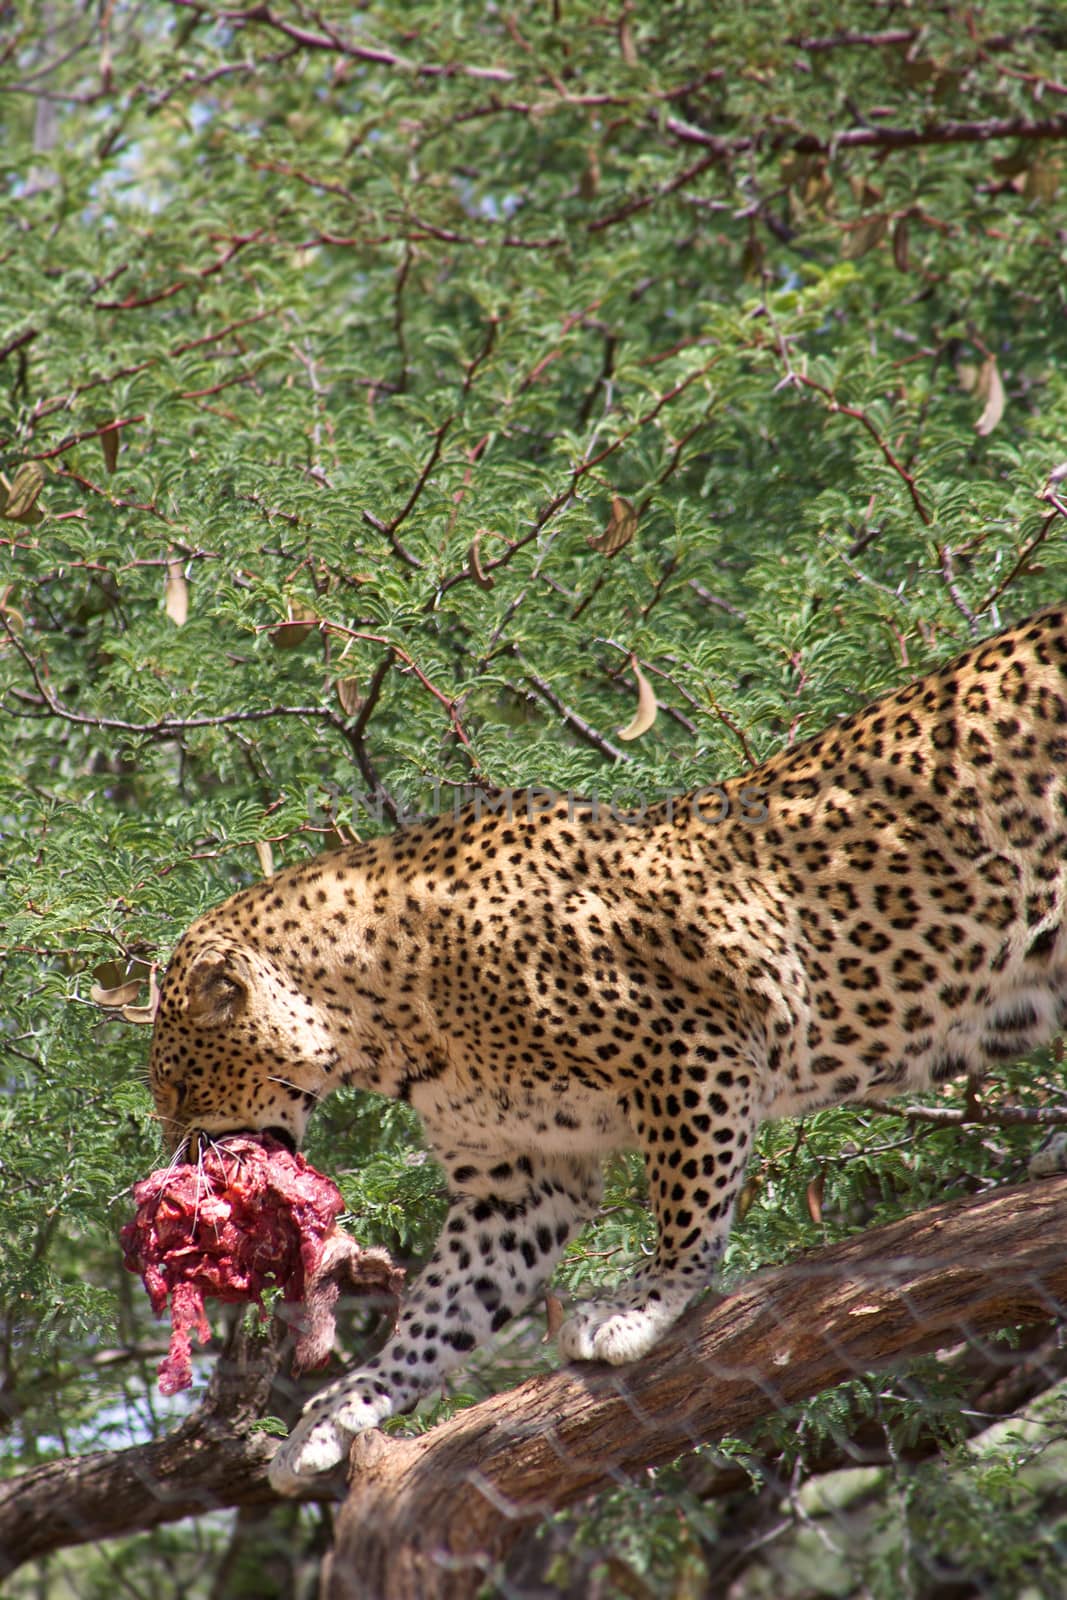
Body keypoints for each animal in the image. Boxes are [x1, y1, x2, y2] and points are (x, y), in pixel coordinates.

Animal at [146, 601, 1067, 1484]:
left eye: (182, 1090)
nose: (176, 1160)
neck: (384, 1024)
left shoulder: (694, 1051)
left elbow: (688, 1203)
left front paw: (643, 1303)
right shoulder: (517, 1179)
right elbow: (444, 1308)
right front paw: (345, 1409)